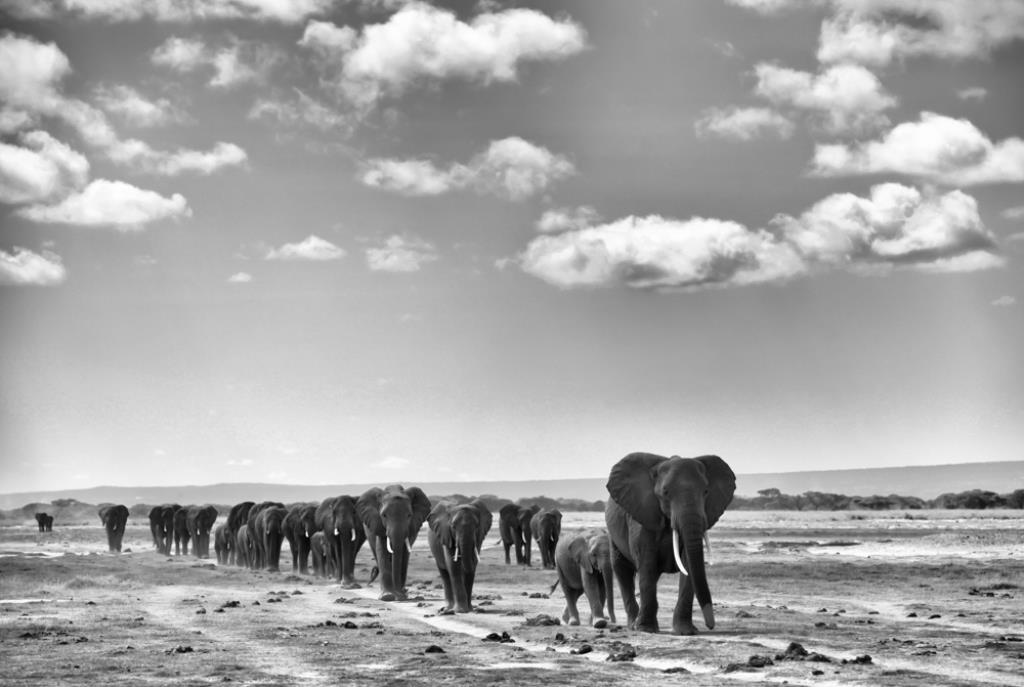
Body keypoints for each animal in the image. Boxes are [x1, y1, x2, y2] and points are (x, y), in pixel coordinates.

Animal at [605, 452, 735, 635]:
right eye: (665, 492)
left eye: (706, 491)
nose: (710, 625)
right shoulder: (642, 517)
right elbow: (647, 565)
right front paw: (646, 629)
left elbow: (688, 566)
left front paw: (686, 631)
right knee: (622, 570)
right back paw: (633, 625)